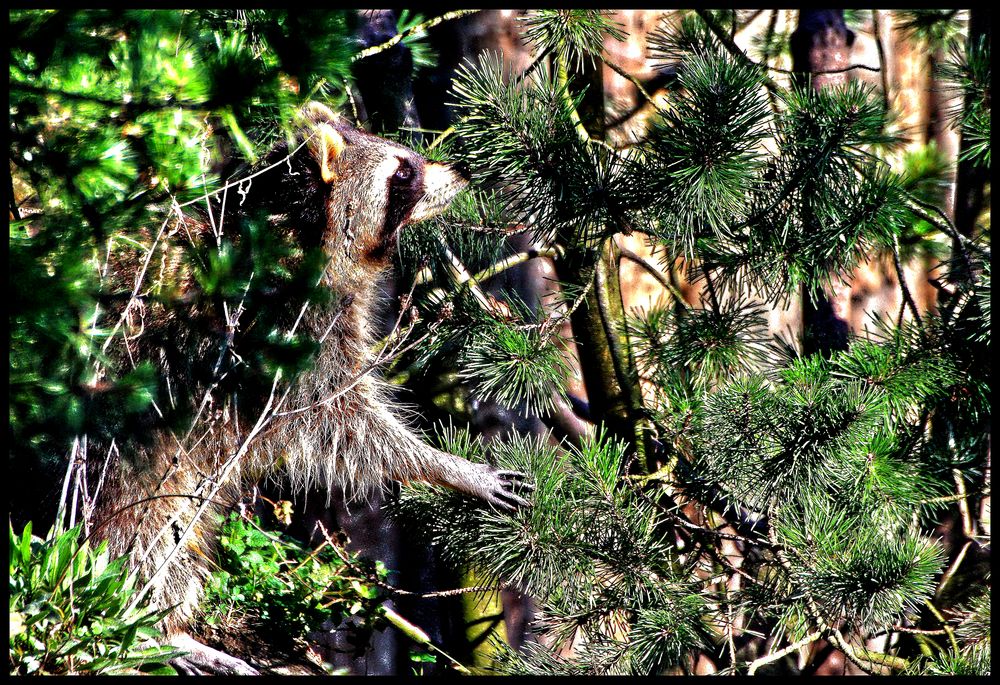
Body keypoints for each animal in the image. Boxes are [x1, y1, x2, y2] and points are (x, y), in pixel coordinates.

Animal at [88, 100, 532, 668]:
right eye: (402, 172)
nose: (462, 171)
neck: (300, 230)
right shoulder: (283, 333)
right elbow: (343, 426)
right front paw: (446, 467)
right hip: (123, 448)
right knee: (139, 529)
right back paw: (148, 625)